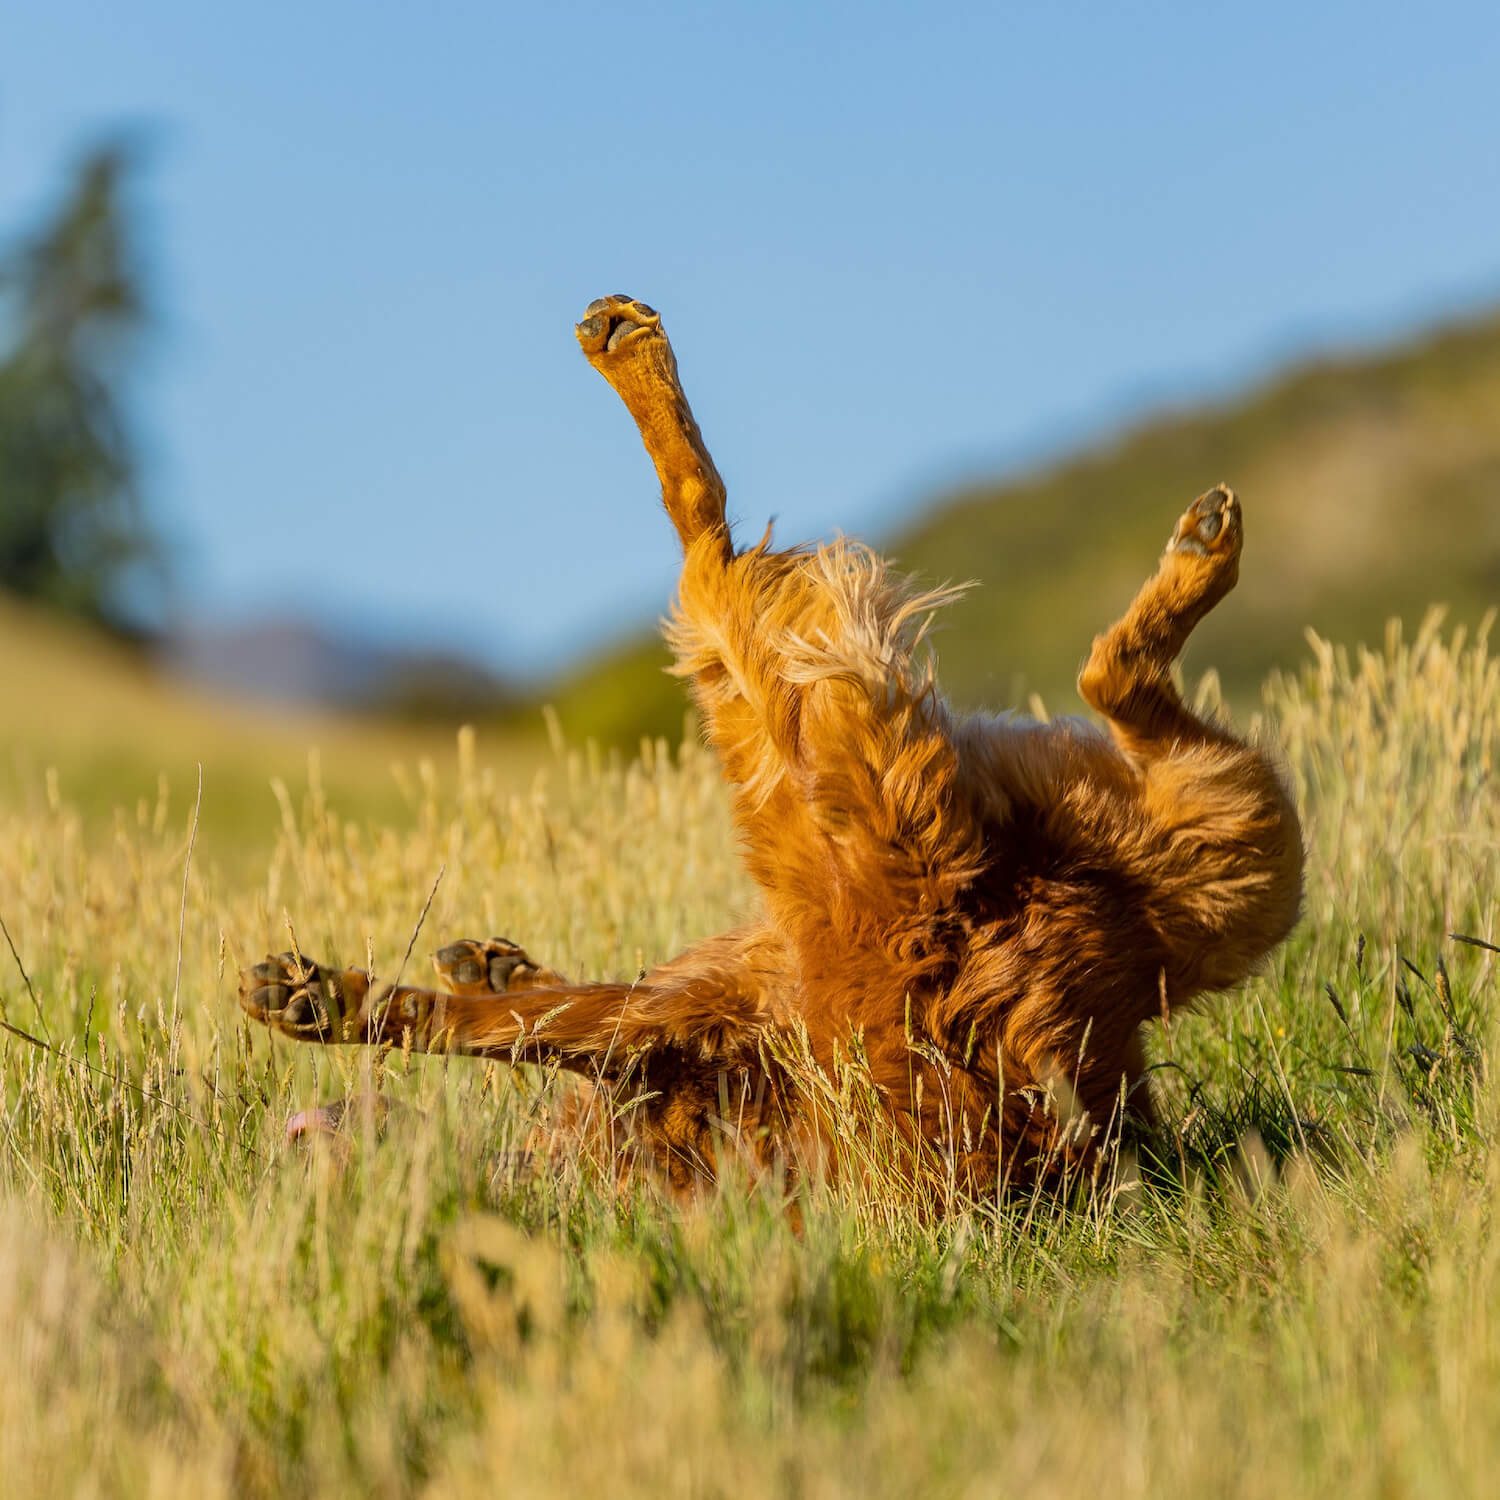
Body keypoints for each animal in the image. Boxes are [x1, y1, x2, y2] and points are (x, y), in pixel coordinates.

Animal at [237, 295, 1302, 1194]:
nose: (292, 1151)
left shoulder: (671, 1020)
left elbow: (505, 1024)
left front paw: (333, 1000)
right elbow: (546, 1011)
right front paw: (483, 969)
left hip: (779, 762)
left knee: (708, 543)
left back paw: (629, 351)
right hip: (1240, 852)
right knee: (1125, 688)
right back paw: (1196, 563)